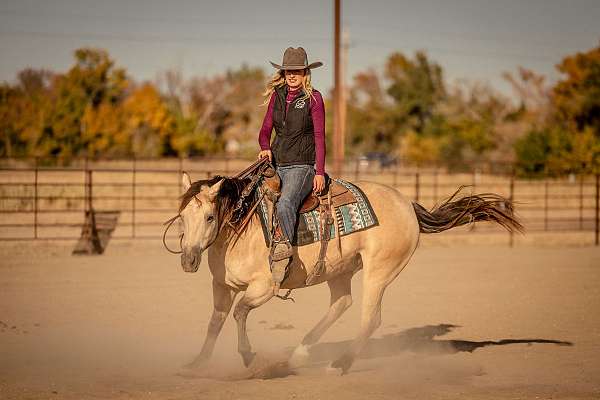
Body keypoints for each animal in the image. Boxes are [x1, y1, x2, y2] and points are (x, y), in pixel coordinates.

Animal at [169, 165, 520, 376]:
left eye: (210, 218)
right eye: (182, 216)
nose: (188, 261)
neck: (245, 227)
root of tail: (407, 204)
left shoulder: (264, 288)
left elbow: (240, 313)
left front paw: (250, 358)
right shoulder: (222, 286)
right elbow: (216, 322)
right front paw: (196, 363)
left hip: (379, 271)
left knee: (370, 317)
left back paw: (340, 363)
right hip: (339, 270)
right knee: (341, 303)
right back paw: (300, 355)